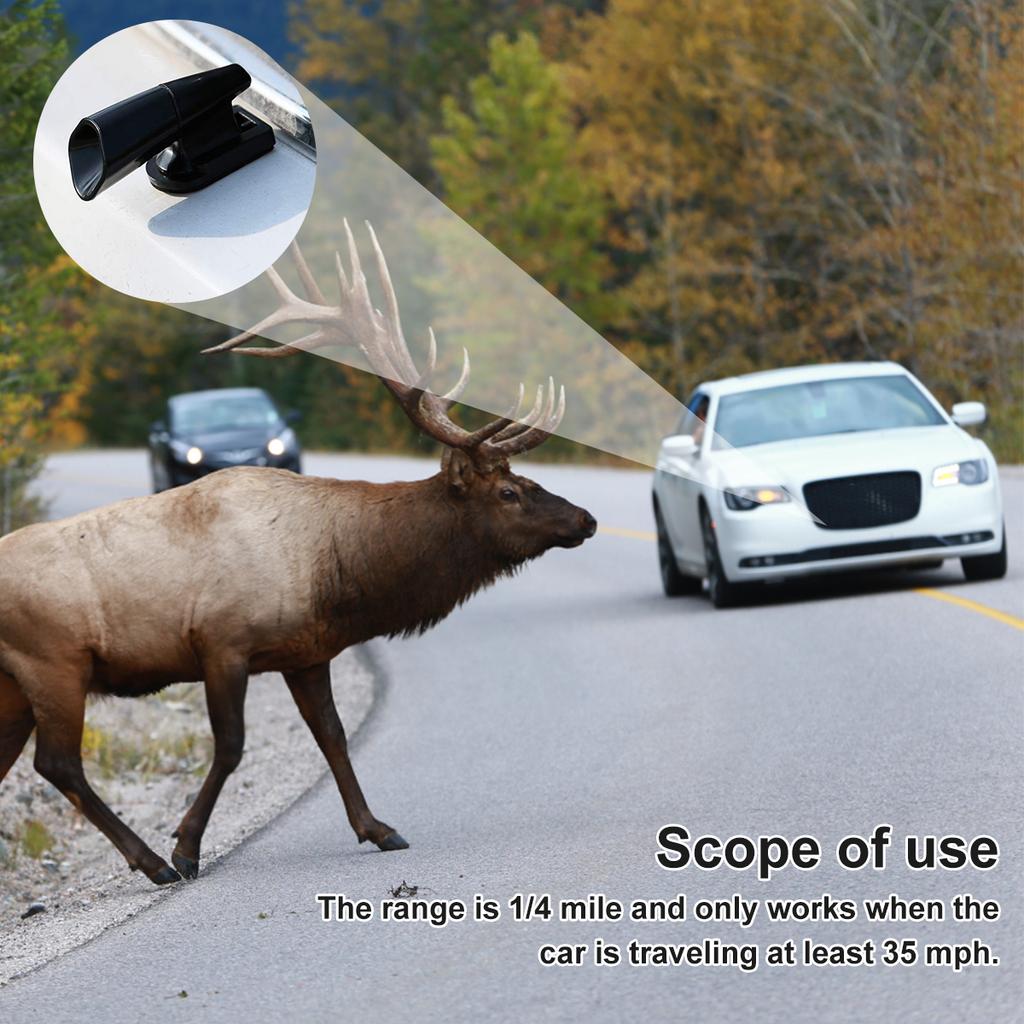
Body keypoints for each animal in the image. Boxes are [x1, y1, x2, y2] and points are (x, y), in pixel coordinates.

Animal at [0, 222, 596, 886]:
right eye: (508, 491)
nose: (586, 519)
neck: (335, 576)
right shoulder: (221, 641)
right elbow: (232, 746)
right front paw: (186, 844)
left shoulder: (306, 652)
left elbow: (332, 736)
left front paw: (377, 828)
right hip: (52, 663)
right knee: (59, 763)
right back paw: (152, 861)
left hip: (14, 687)